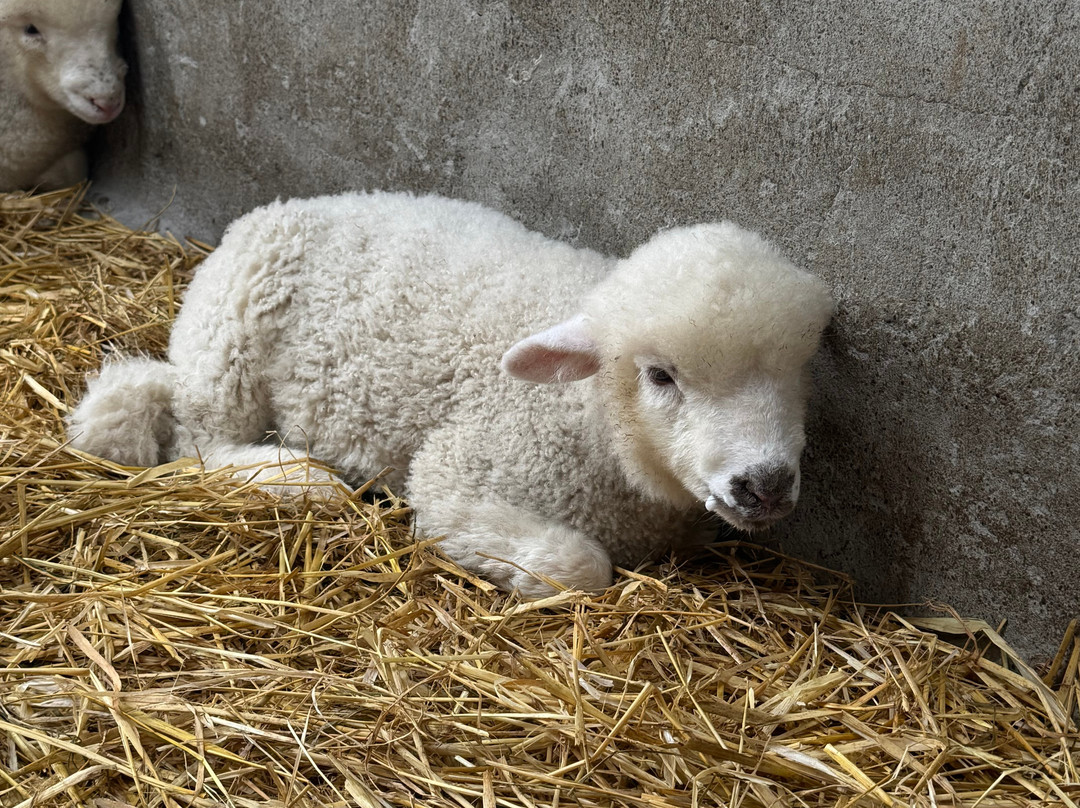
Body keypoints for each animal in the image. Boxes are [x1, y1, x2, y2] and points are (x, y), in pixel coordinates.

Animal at [67, 192, 835, 596]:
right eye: (660, 376)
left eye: (800, 369)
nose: (764, 483)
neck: (588, 415)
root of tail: (262, 215)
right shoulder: (457, 475)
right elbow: (580, 566)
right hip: (230, 348)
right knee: (195, 442)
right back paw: (296, 480)